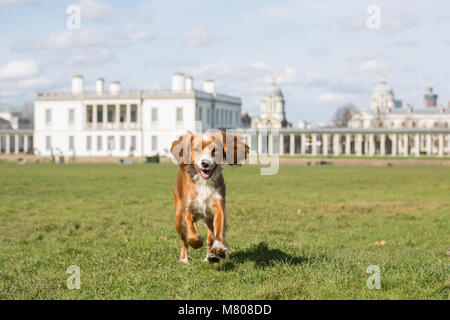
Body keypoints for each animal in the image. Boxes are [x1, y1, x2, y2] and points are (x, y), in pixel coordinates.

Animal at [171, 130, 250, 262]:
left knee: (210, 237)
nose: (205, 163)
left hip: (208, 219)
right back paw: (183, 259)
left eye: (215, 150)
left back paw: (211, 256)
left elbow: (218, 231)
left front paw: (218, 249)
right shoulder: (187, 209)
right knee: (183, 240)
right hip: (178, 217)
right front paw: (197, 242)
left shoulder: (218, 207)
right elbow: (191, 234)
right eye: (196, 149)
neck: (204, 183)